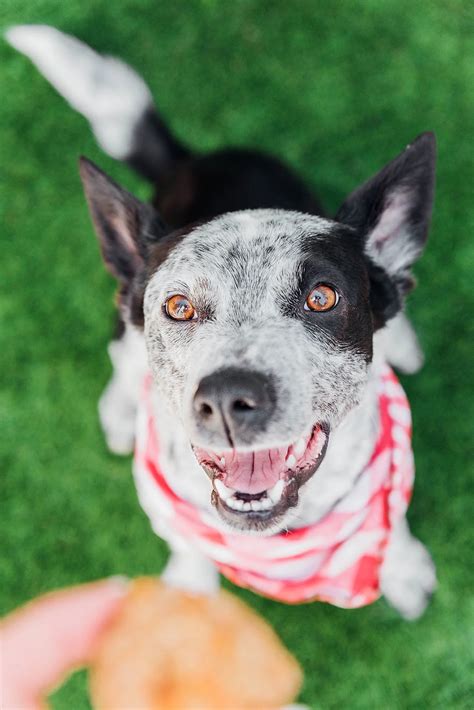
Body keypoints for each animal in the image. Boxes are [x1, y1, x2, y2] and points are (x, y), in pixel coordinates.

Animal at [7, 25, 436, 620]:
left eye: (321, 297)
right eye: (178, 306)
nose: (229, 399)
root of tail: (190, 161)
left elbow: (393, 520)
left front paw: (402, 566)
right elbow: (187, 546)